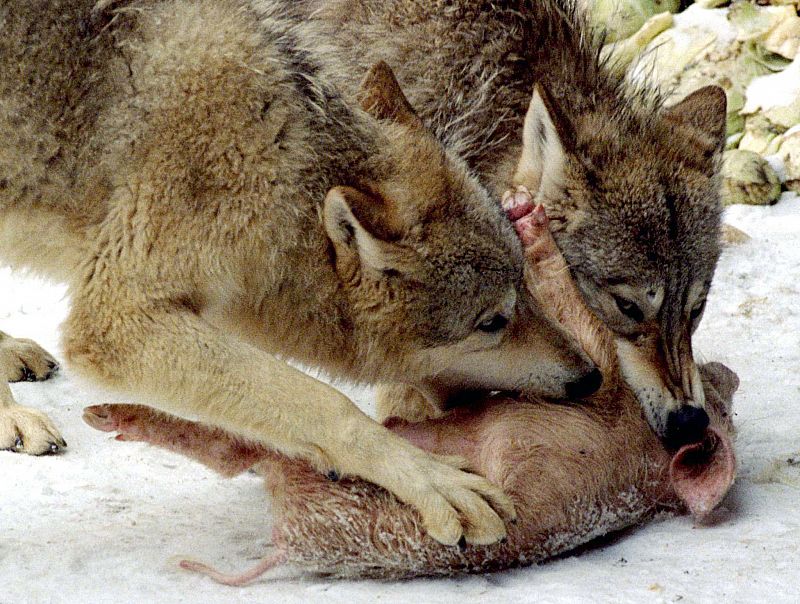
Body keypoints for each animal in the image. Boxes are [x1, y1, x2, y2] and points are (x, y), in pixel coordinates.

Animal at [0, 0, 608, 548]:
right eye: (492, 323)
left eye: (526, 287)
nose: (591, 377)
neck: (278, 167)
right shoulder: (117, 321)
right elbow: (323, 401)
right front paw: (429, 480)